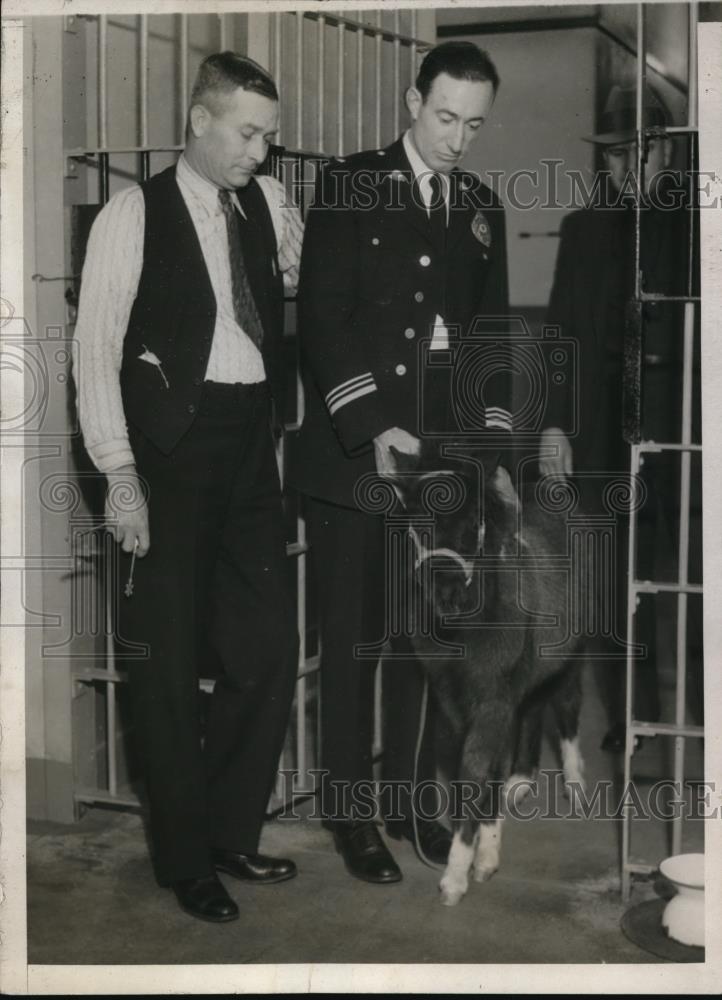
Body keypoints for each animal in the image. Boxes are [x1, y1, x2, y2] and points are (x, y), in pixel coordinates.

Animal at [388, 450, 584, 904]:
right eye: (415, 524)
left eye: (476, 523)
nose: (448, 596)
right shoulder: (455, 702)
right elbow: (478, 775)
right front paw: (484, 856)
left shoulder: (492, 702)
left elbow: (475, 772)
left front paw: (458, 876)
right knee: (534, 708)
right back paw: (521, 781)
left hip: (574, 656)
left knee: (567, 708)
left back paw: (577, 787)